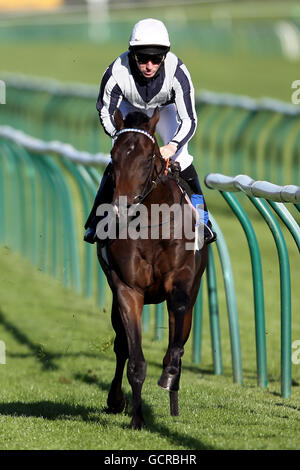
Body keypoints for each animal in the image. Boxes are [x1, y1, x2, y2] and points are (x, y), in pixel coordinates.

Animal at [96, 107, 209, 430]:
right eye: (114, 156)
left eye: (148, 158)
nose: (120, 207)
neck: (150, 224)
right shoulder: (127, 289)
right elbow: (134, 358)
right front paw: (136, 418)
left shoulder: (182, 280)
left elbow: (178, 324)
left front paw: (170, 372)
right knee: (121, 344)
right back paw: (116, 400)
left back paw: (173, 397)